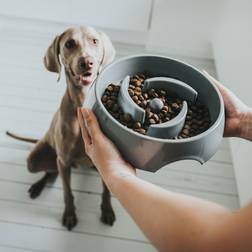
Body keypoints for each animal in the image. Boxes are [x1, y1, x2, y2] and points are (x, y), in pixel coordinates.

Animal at [6, 26, 116, 230]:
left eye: (95, 41)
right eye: (69, 44)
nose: (87, 62)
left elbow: (106, 190)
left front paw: (107, 210)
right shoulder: (64, 160)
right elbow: (67, 192)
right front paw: (70, 215)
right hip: (36, 160)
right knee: (52, 172)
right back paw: (38, 186)